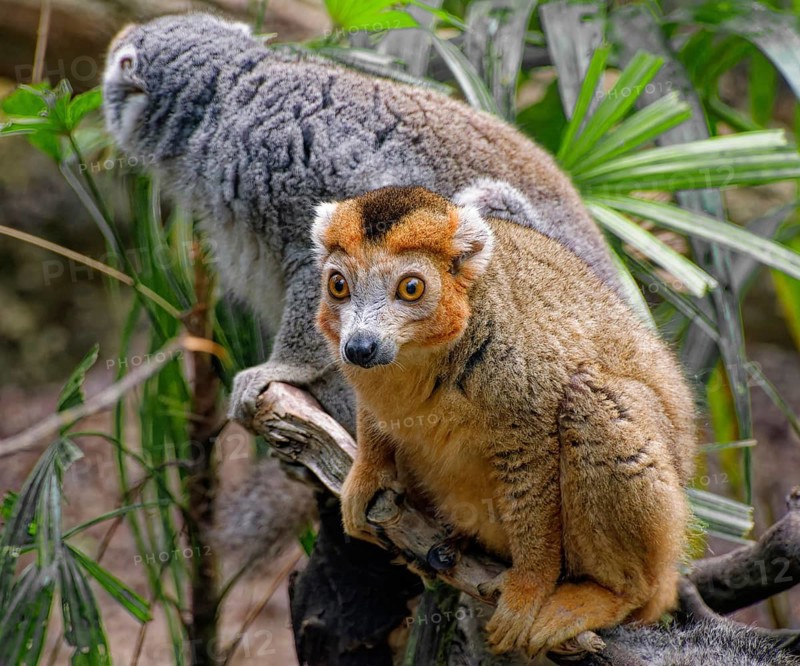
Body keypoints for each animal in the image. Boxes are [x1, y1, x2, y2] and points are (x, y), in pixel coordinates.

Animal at [311, 182, 697, 657]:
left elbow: (533, 460)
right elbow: (375, 415)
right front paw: (368, 475)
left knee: (587, 397)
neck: (421, 357)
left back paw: (612, 593)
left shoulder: (518, 370)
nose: (361, 346)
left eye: (411, 288)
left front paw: (529, 587)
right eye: (338, 285)